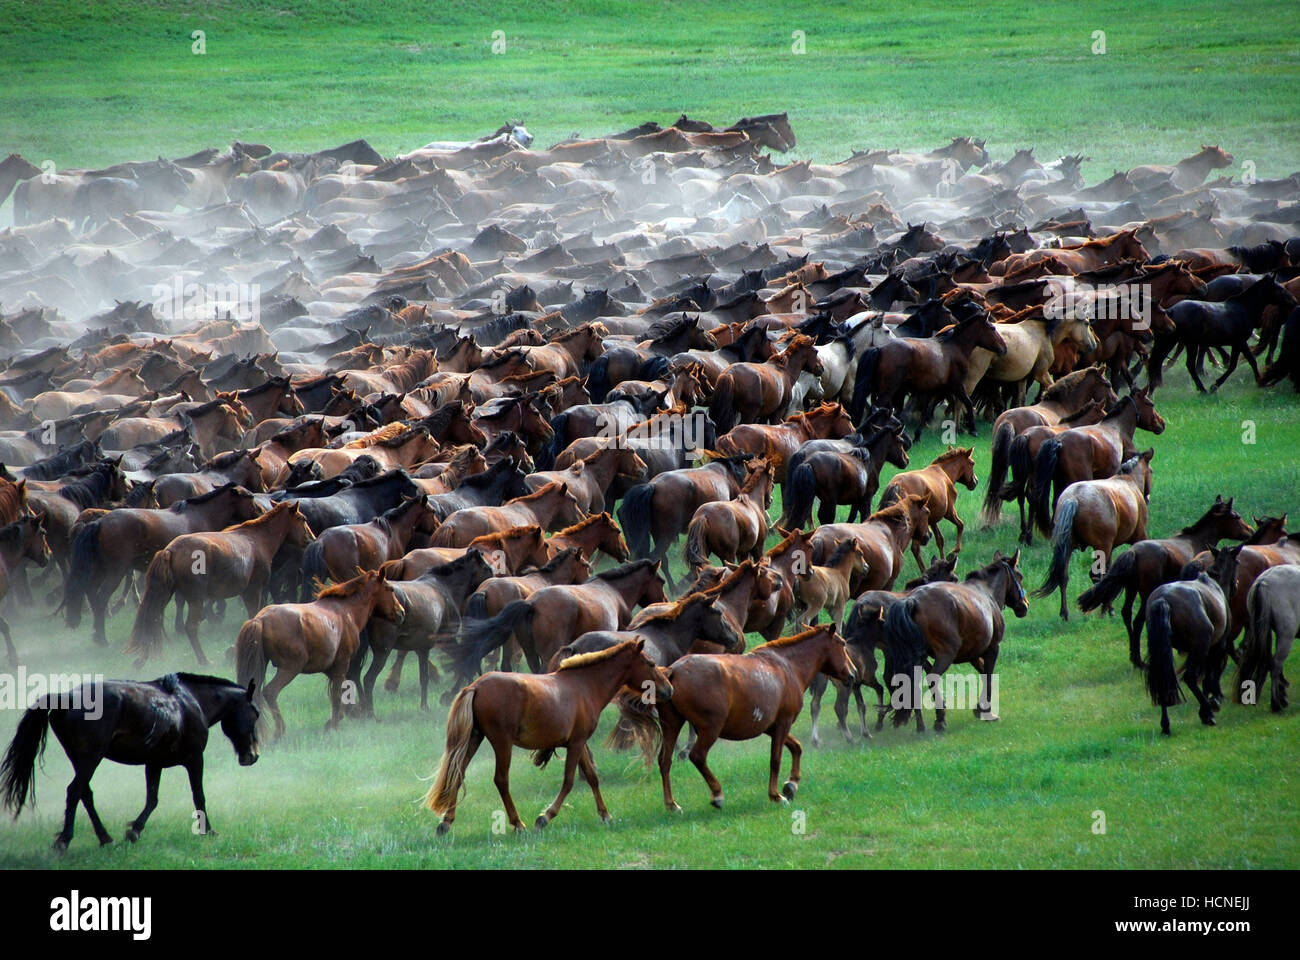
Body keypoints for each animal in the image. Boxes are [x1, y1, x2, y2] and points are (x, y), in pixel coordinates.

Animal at [0, 673, 258, 851]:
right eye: (255, 714)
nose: (253, 756)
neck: (190, 702)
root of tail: (67, 697)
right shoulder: (195, 759)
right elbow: (199, 796)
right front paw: (207, 830)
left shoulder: (154, 763)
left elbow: (152, 799)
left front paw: (134, 831)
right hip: (90, 759)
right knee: (74, 791)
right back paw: (64, 841)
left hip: (79, 759)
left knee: (85, 794)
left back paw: (105, 839)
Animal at [236, 569, 406, 740]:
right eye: (390, 589)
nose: (402, 612)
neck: (346, 611)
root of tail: (261, 619)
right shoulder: (342, 665)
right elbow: (337, 696)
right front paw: (335, 726)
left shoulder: (330, 669)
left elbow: (340, 696)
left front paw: (334, 721)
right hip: (290, 669)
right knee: (270, 692)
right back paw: (280, 731)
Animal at [654, 624, 855, 811]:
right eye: (842, 644)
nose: (853, 674)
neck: (787, 666)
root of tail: (672, 670)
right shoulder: (783, 723)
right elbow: (775, 759)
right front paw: (776, 795)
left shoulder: (772, 727)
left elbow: (796, 747)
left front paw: (791, 785)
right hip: (710, 730)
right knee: (697, 756)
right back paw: (717, 794)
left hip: (672, 725)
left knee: (665, 761)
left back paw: (672, 804)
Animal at [883, 550, 1028, 731]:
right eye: (1020, 576)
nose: (1024, 606)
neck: (987, 592)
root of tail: (913, 601)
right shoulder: (993, 648)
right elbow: (989, 676)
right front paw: (986, 711)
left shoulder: (974, 654)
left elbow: (983, 673)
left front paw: (979, 708)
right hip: (946, 654)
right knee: (932, 679)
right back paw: (939, 720)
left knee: (911, 683)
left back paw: (921, 725)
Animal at [1033, 450, 1154, 620]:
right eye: (1151, 471)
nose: (1148, 497)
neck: (1127, 481)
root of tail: (1073, 499)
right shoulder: (1139, 537)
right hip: (1102, 547)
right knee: (1098, 576)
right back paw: (1104, 609)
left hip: (1069, 547)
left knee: (1064, 576)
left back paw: (1065, 613)